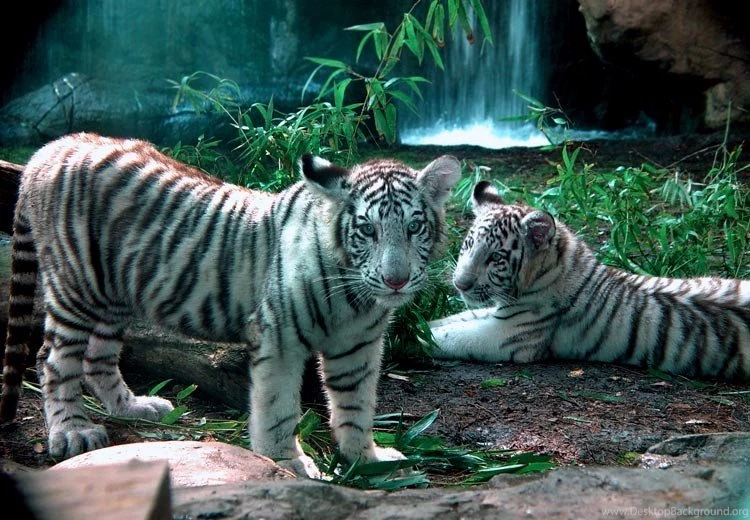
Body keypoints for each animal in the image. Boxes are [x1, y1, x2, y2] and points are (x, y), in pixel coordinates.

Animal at [0, 132, 461, 478]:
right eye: (366, 230)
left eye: (414, 227)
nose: (396, 279)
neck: (355, 298)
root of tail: (53, 146)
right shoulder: (280, 339)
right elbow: (278, 408)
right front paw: (288, 462)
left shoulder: (359, 347)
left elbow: (357, 404)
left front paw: (366, 458)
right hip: (77, 285)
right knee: (52, 360)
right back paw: (72, 432)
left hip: (113, 294)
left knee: (98, 357)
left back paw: (135, 407)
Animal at [429, 180, 750, 380]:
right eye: (469, 244)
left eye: (495, 257)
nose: (460, 284)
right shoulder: (498, 312)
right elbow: (450, 320)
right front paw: (419, 322)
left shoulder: (509, 335)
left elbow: (451, 337)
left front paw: (417, 340)